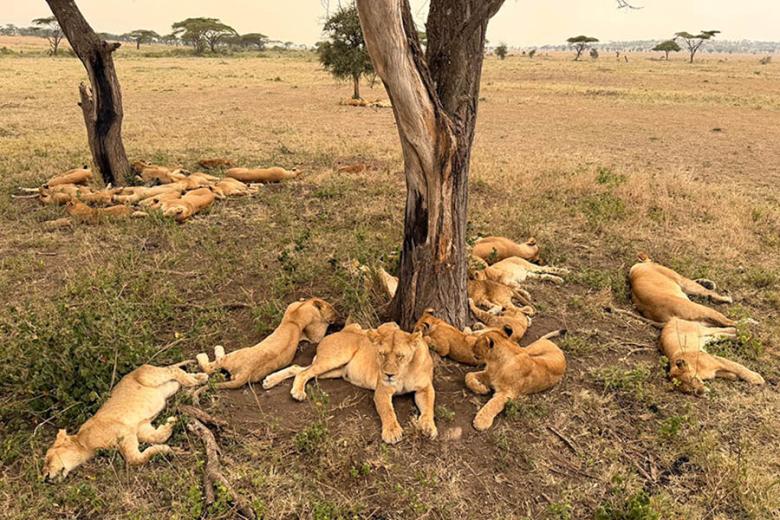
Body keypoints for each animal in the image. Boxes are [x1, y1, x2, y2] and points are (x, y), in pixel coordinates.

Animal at [42, 363, 208, 481]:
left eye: (48, 460)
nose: (45, 478)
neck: (83, 442)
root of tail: (144, 365)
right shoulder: (141, 428)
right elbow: (155, 437)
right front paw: (169, 427)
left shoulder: (124, 431)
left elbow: (134, 459)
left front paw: (166, 448)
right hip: (168, 388)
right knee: (175, 380)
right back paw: (200, 376)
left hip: (148, 376)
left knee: (173, 369)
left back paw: (196, 379)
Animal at [196, 298, 338, 389]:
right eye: (332, 308)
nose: (338, 315)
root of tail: (246, 372)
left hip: (235, 354)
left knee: (210, 367)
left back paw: (209, 352)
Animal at [263, 322, 437, 444]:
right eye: (382, 354)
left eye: (400, 356)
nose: (388, 374)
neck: (404, 372)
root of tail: (342, 331)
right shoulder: (382, 390)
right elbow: (387, 410)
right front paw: (392, 432)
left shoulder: (425, 388)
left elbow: (429, 406)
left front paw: (428, 426)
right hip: (334, 359)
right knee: (303, 373)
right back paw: (297, 392)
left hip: (332, 371)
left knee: (298, 368)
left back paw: (269, 381)